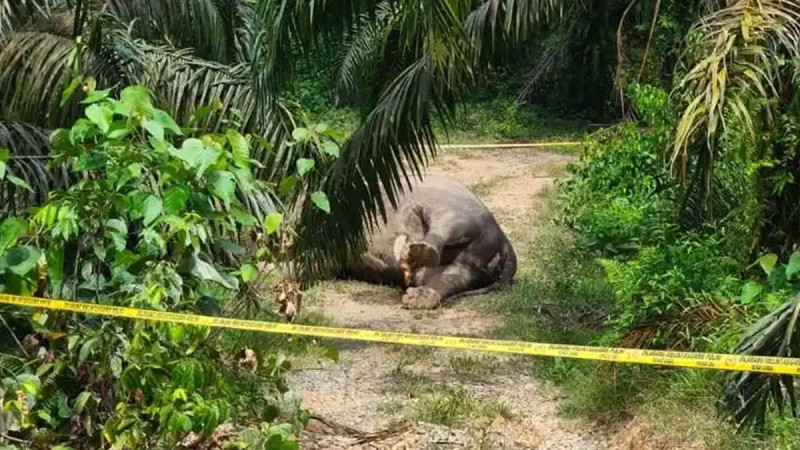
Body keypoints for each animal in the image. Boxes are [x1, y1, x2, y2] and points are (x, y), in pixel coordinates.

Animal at [343, 175, 517, 309]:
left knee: (446, 225)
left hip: (457, 210)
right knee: (449, 277)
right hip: (471, 268)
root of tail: (507, 247)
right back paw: (416, 296)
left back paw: (418, 251)